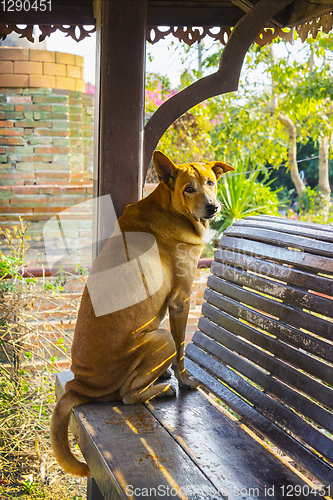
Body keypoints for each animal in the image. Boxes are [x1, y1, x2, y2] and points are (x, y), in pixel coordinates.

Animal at [50, 149, 233, 476]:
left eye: (211, 182)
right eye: (189, 188)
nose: (212, 207)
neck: (169, 208)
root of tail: (78, 384)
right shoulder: (181, 302)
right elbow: (183, 353)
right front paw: (184, 380)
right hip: (162, 338)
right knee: (128, 395)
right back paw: (164, 389)